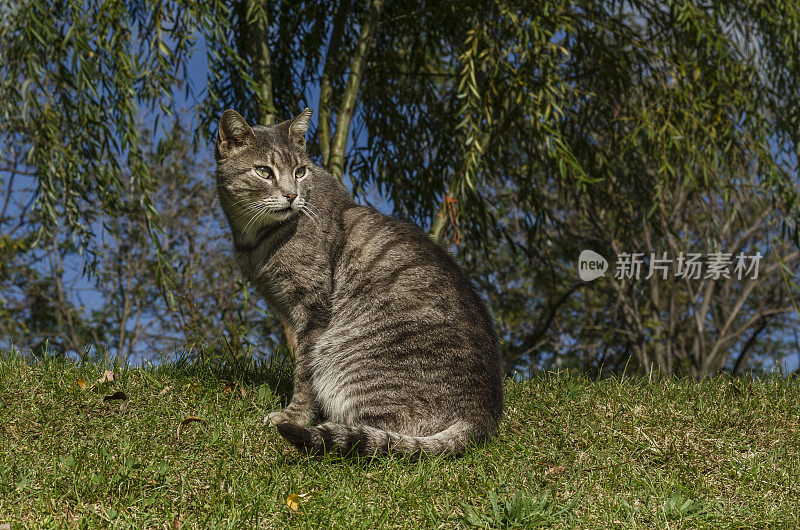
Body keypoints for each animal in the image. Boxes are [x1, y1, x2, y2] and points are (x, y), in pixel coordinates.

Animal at [212, 106, 500, 454]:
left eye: (299, 172)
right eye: (264, 172)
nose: (293, 195)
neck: (254, 238)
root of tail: (481, 415)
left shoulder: (312, 309)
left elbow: (304, 374)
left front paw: (294, 415)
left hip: (343, 360)